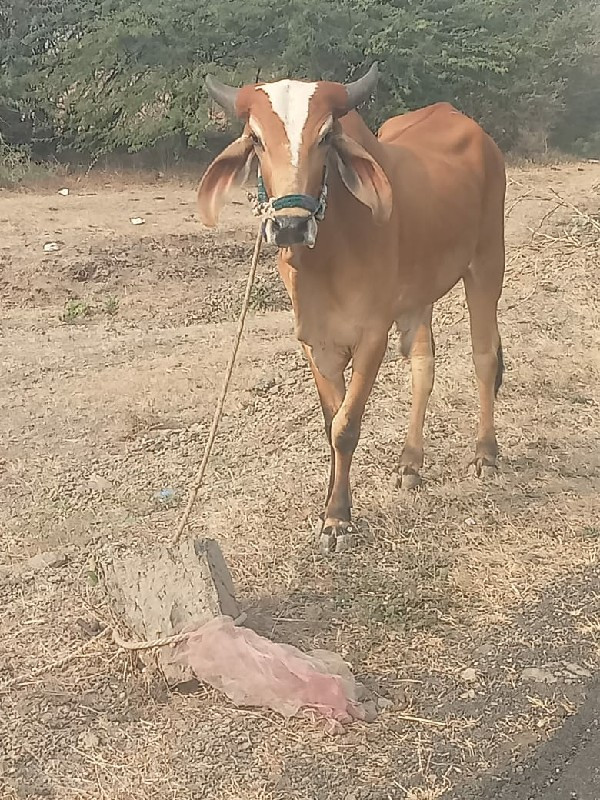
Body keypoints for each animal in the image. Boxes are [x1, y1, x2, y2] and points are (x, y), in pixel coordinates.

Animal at [198, 65, 506, 552]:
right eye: (256, 139)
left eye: (326, 136)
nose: (289, 226)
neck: (326, 258)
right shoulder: (314, 340)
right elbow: (333, 421)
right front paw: (331, 503)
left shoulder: (372, 335)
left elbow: (346, 426)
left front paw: (338, 520)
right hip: (418, 294)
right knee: (423, 367)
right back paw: (410, 462)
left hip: (487, 262)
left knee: (484, 357)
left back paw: (486, 454)